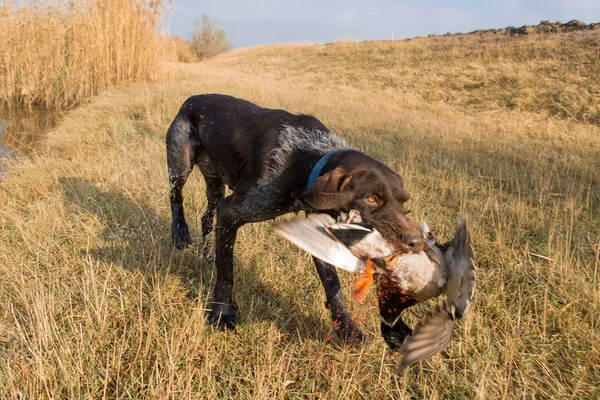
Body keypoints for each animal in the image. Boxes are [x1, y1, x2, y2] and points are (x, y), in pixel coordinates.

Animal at [166, 94, 424, 346]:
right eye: (371, 198)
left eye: (403, 202)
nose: (416, 241)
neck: (306, 159)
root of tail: (191, 99)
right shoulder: (231, 213)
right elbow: (227, 274)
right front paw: (222, 313)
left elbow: (333, 284)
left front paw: (347, 328)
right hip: (181, 165)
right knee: (176, 195)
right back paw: (179, 233)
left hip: (214, 182)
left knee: (206, 218)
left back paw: (209, 254)